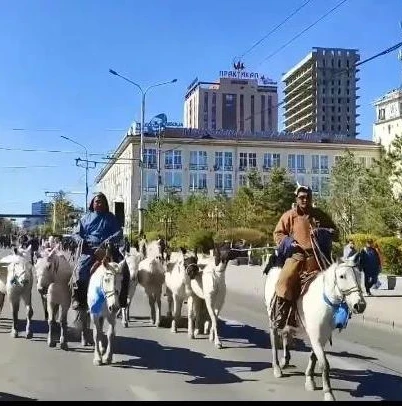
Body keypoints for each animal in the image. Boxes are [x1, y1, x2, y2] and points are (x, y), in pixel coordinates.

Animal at [266, 255, 366, 402]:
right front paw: (328, 393)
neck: (325, 303)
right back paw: (277, 368)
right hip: (273, 319)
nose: (360, 305)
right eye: (342, 276)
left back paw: (285, 361)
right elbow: (324, 364)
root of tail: (274, 269)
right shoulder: (316, 337)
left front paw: (309, 380)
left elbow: (313, 358)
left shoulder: (321, 338)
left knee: (286, 335)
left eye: (359, 275)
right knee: (274, 342)